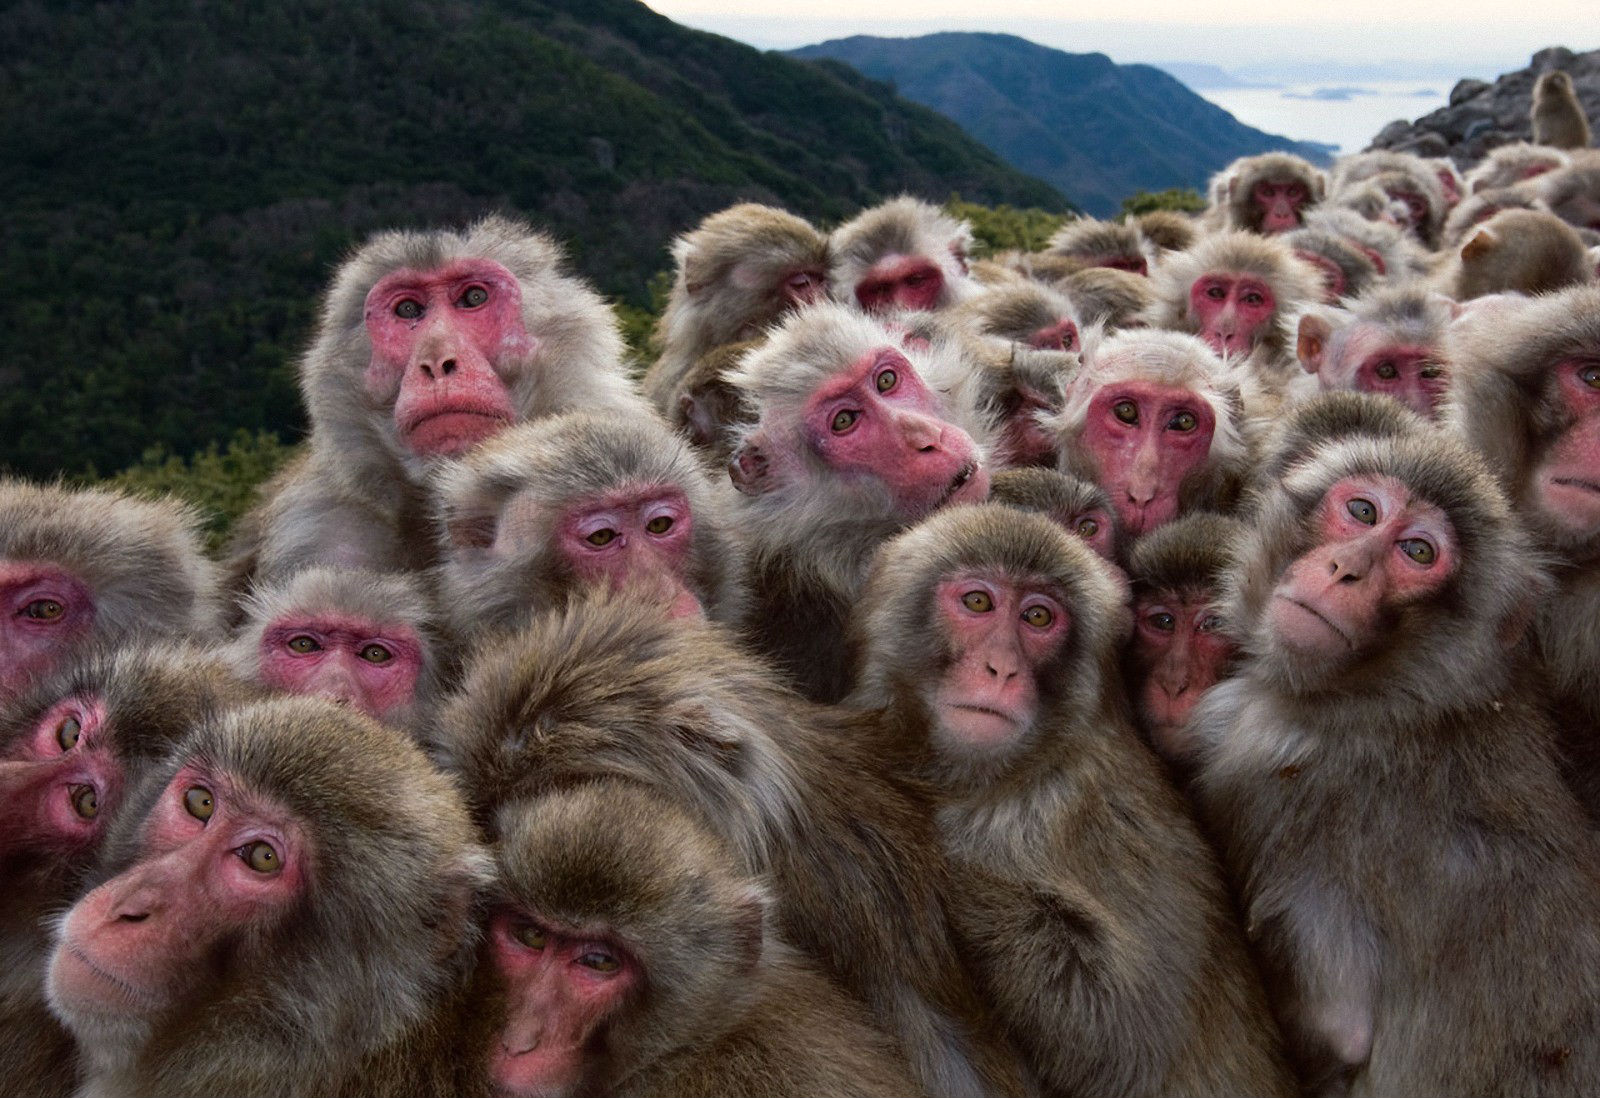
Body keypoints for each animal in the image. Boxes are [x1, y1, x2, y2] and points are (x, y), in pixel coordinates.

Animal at [1189, 428, 1600, 1095]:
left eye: (1417, 551)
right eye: (1363, 511)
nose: (1346, 568)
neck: (1404, 700)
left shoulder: (1264, 756)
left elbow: (1342, 1026)